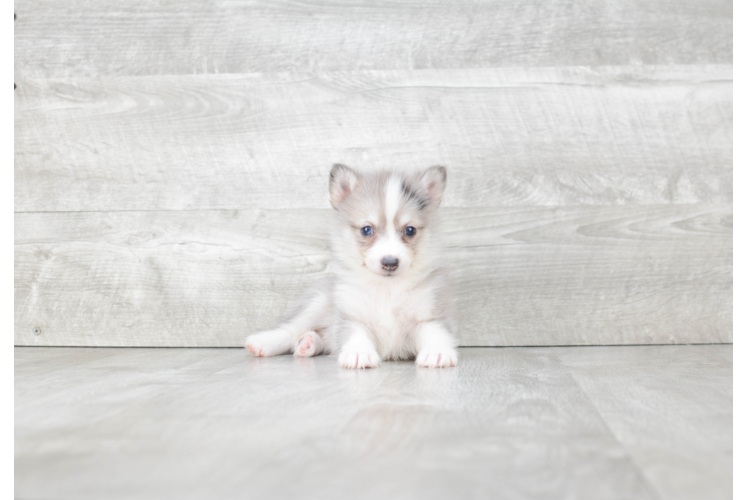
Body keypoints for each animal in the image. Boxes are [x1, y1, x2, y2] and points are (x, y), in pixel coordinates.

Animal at [245, 164, 456, 368]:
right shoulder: (351, 316)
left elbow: (436, 333)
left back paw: (309, 343)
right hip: (318, 301)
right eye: (367, 230)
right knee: (291, 328)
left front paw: (437, 353)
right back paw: (264, 342)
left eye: (410, 230)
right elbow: (355, 335)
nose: (390, 262)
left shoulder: (429, 315)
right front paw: (359, 353)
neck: (387, 289)